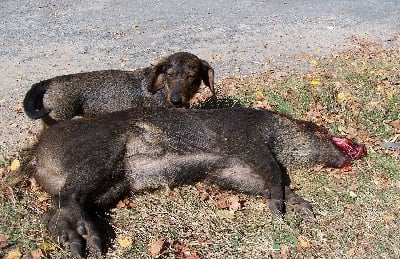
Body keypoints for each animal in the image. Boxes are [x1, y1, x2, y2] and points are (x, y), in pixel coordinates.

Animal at [28, 107, 366, 258]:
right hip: (101, 154)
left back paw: (75, 243)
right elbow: (272, 172)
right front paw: (278, 211)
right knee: (70, 197)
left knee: (54, 211)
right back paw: (92, 245)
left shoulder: (227, 169)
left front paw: (304, 210)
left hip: (114, 184)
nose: (360, 145)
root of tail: (37, 156)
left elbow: (260, 182)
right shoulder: (247, 141)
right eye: (318, 129)